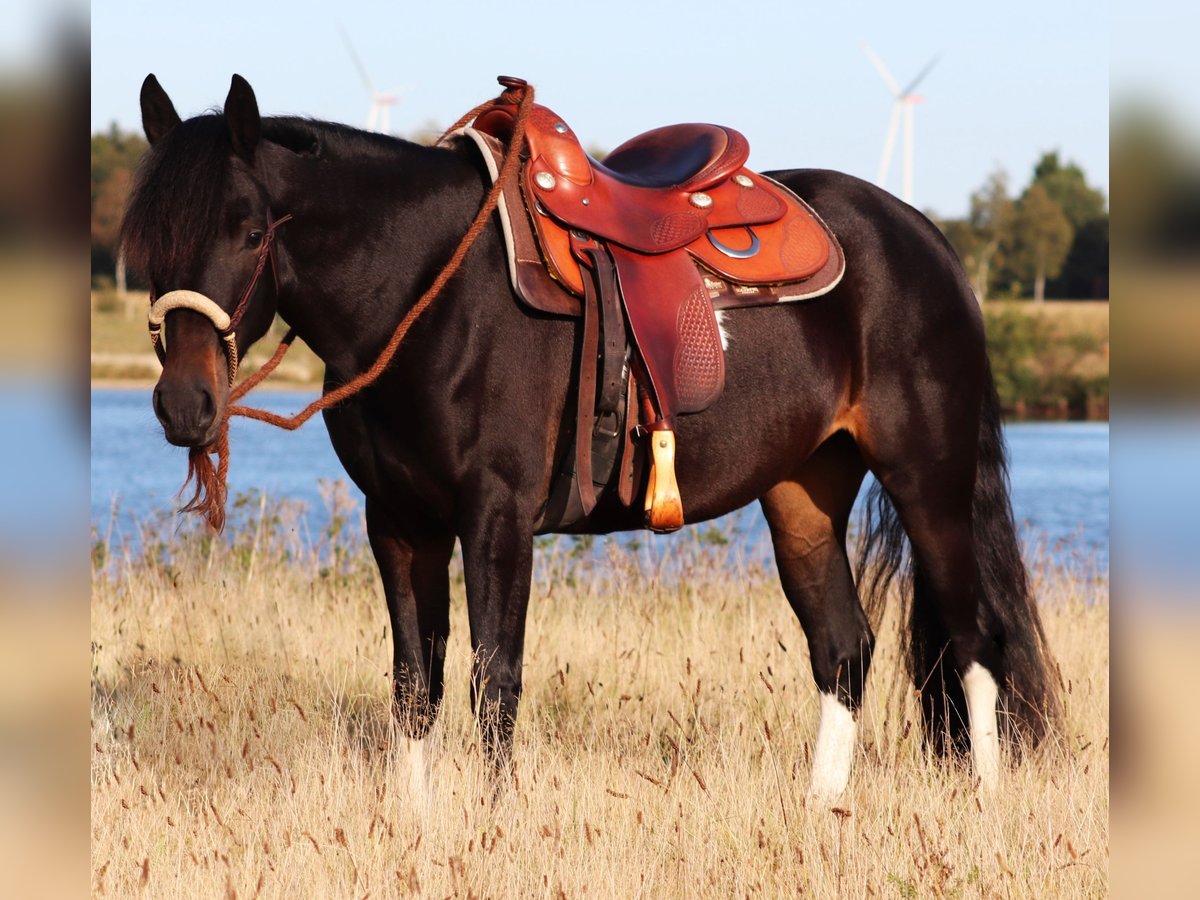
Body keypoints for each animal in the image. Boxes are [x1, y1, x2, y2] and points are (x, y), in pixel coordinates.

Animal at [124, 75, 1060, 801]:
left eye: (252, 231)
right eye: (148, 240)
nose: (182, 406)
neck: (427, 295)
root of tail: (921, 234)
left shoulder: (496, 518)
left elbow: (493, 680)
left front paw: (492, 827)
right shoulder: (396, 521)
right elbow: (415, 684)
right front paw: (416, 824)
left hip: (928, 481)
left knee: (976, 643)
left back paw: (983, 804)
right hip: (804, 492)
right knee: (844, 647)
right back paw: (820, 810)